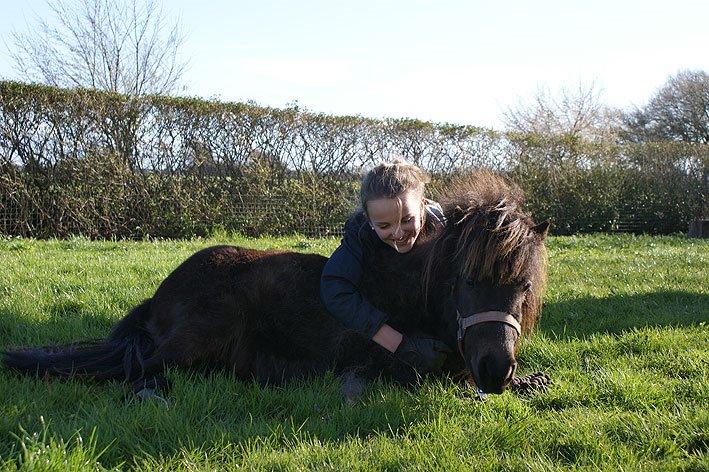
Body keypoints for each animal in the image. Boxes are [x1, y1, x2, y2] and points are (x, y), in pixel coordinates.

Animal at [2, 170, 552, 398]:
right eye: (465, 281)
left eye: (523, 286)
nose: (495, 368)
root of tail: (159, 295)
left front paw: (527, 379)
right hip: (200, 334)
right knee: (137, 370)